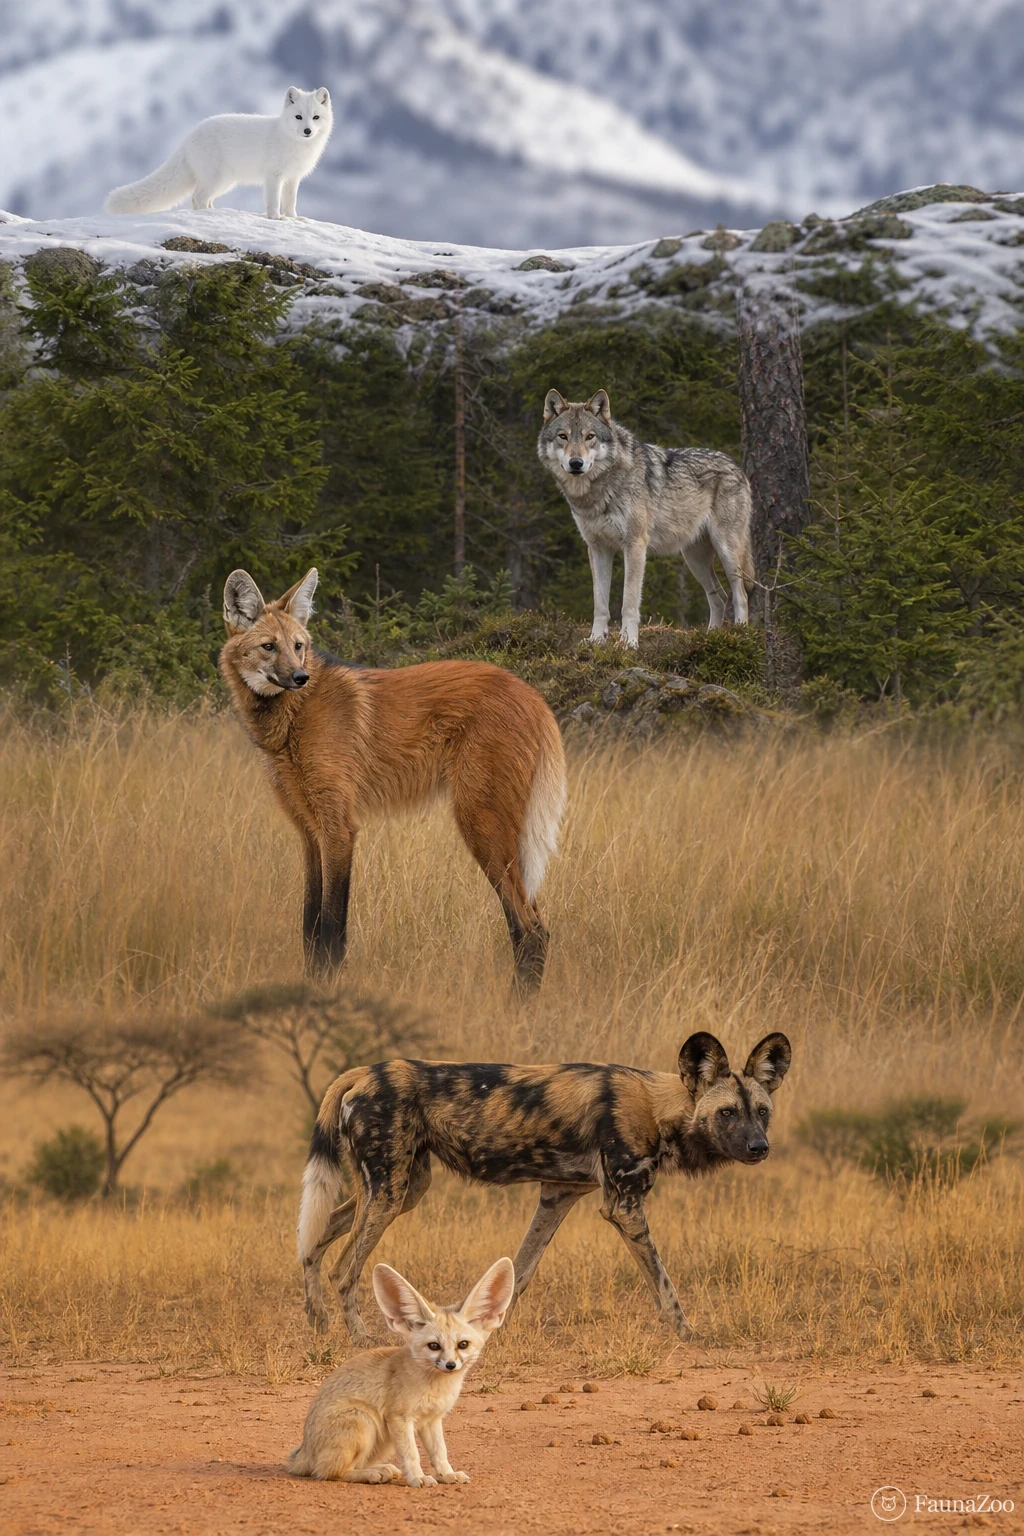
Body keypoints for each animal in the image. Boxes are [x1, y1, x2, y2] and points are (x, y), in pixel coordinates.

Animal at [106, 88, 332, 220]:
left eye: (315, 117)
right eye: (298, 117)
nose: (308, 131)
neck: (293, 143)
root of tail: (188, 137)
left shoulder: (293, 178)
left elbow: (291, 201)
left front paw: (293, 218)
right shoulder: (273, 176)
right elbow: (274, 201)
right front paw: (276, 219)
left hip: (225, 182)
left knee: (202, 199)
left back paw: (214, 212)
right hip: (217, 178)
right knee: (197, 198)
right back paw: (208, 214)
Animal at [219, 567, 565, 989]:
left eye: (298, 646)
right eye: (269, 647)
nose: (300, 677)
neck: (292, 718)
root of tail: (534, 695)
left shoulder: (339, 829)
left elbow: (331, 929)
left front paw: (329, 990)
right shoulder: (310, 832)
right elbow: (309, 927)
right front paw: (311, 986)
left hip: (482, 825)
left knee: (529, 929)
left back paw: (513, 1003)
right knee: (536, 924)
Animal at [288, 1258, 514, 1486]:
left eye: (463, 1344)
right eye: (434, 1346)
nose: (450, 1365)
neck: (435, 1386)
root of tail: (303, 1452)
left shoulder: (431, 1420)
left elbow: (440, 1452)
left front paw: (447, 1474)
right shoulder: (399, 1418)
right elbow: (411, 1454)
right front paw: (418, 1478)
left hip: (381, 1439)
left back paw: (382, 1469)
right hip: (364, 1422)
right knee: (329, 1471)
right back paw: (372, 1474)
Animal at [297, 1030, 791, 1342]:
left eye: (762, 1112)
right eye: (727, 1113)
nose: (759, 1147)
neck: (659, 1108)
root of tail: (364, 1071)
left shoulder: (557, 1195)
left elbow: (521, 1271)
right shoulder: (624, 1207)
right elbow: (663, 1282)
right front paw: (688, 1332)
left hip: (401, 1188)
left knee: (313, 1245)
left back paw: (317, 1322)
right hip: (389, 1190)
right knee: (345, 1270)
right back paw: (359, 1339)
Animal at [538, 389, 755, 645]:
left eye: (590, 436)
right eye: (563, 436)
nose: (576, 463)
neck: (600, 491)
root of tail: (737, 467)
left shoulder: (635, 545)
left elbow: (629, 603)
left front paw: (628, 643)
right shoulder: (598, 549)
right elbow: (600, 604)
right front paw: (596, 640)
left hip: (727, 551)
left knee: (740, 594)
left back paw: (741, 635)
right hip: (694, 560)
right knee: (719, 596)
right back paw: (712, 637)